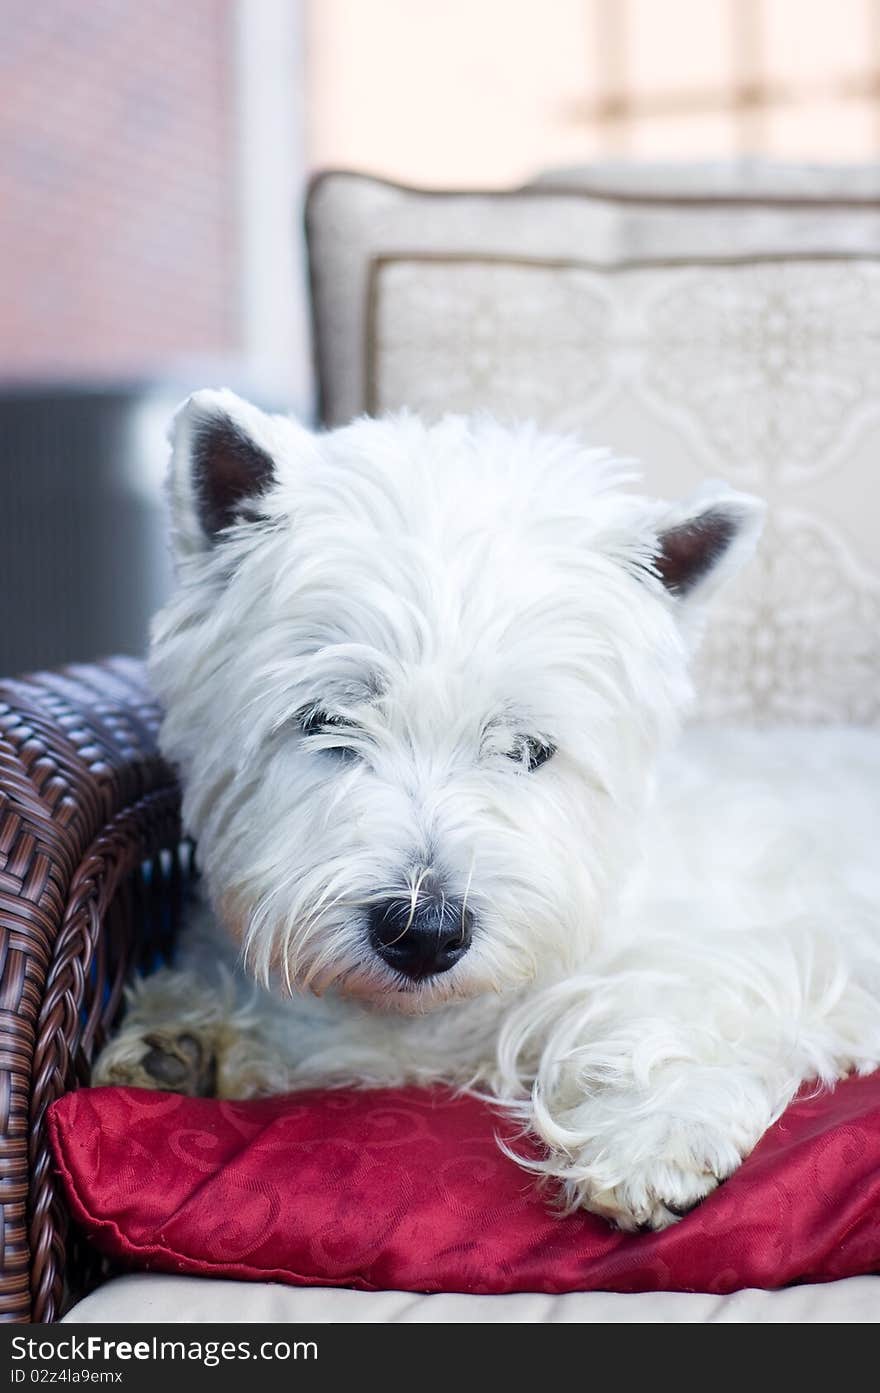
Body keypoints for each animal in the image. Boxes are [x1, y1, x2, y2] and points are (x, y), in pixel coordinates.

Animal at [92, 390, 880, 1231]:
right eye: (328, 719)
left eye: (528, 748)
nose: (422, 934)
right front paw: (184, 1040)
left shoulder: (765, 948)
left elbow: (668, 1003)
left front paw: (651, 1132)